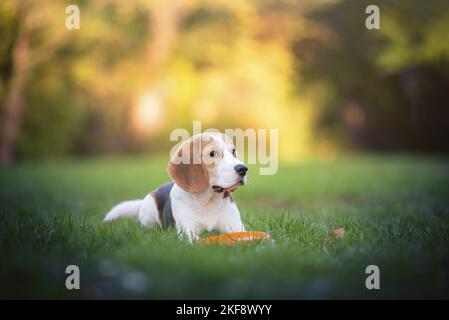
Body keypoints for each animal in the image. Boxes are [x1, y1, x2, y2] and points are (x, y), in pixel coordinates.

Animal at [103, 133, 247, 242]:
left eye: (233, 151)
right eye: (212, 153)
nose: (243, 169)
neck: (207, 200)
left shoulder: (236, 226)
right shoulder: (187, 230)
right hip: (148, 214)